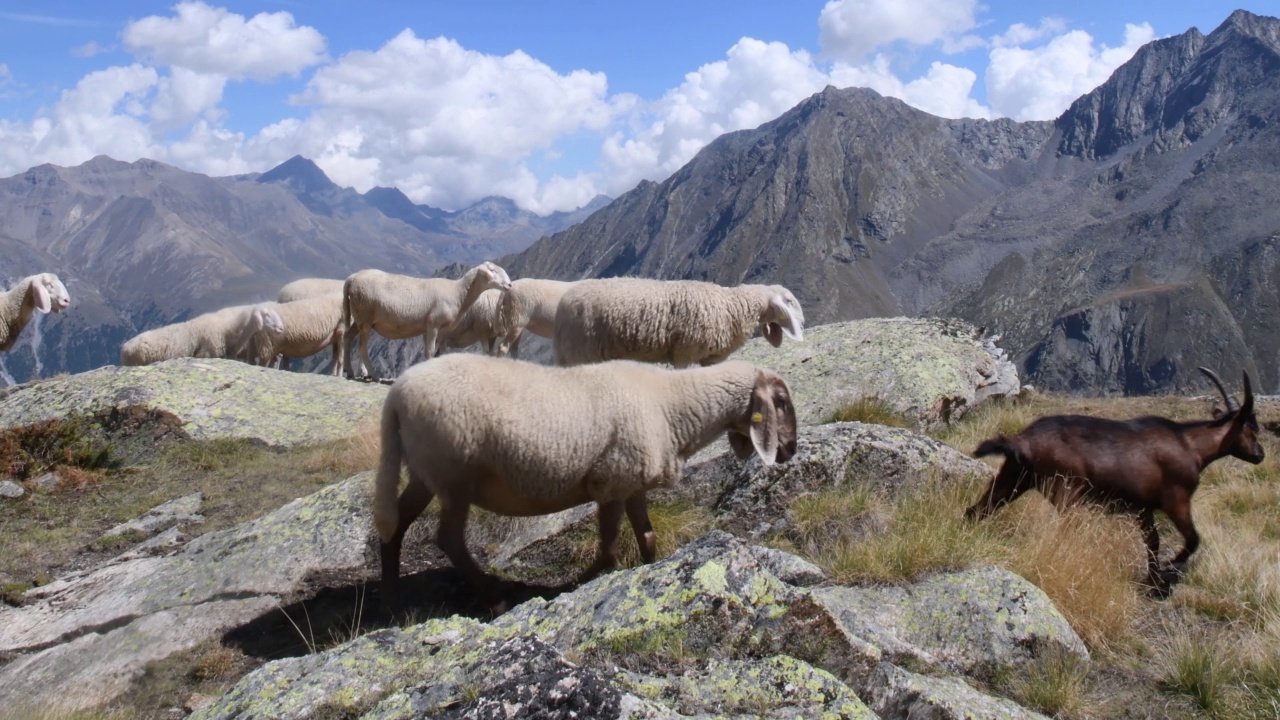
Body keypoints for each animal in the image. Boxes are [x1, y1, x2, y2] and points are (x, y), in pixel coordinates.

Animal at [348, 258, 517, 381]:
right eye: (493, 271)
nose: (510, 285)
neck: (459, 293)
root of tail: (351, 279)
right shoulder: (433, 324)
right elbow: (430, 351)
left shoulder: (438, 329)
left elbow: (441, 351)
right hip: (364, 317)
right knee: (361, 347)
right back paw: (373, 375)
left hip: (357, 317)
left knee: (347, 339)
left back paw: (350, 372)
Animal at [373, 353, 798, 609]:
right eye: (780, 402)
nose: (791, 450)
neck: (672, 406)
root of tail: (396, 395)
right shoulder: (612, 480)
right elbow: (609, 542)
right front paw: (589, 580)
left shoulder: (632, 482)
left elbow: (646, 535)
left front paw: (649, 568)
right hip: (454, 475)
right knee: (448, 538)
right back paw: (493, 594)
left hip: (427, 473)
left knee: (396, 525)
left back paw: (391, 595)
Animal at [555, 275, 803, 366]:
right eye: (790, 300)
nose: (802, 323)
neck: (732, 305)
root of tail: (563, 304)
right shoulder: (684, 352)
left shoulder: (712, 358)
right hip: (583, 354)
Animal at [962, 366, 1264, 591]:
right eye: (1252, 429)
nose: (1260, 454)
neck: (1189, 445)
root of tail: (1023, 441)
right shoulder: (1176, 500)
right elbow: (1192, 540)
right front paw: (1168, 570)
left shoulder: (1143, 508)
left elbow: (1153, 542)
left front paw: (1153, 578)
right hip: (1067, 490)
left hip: (1014, 478)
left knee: (977, 510)